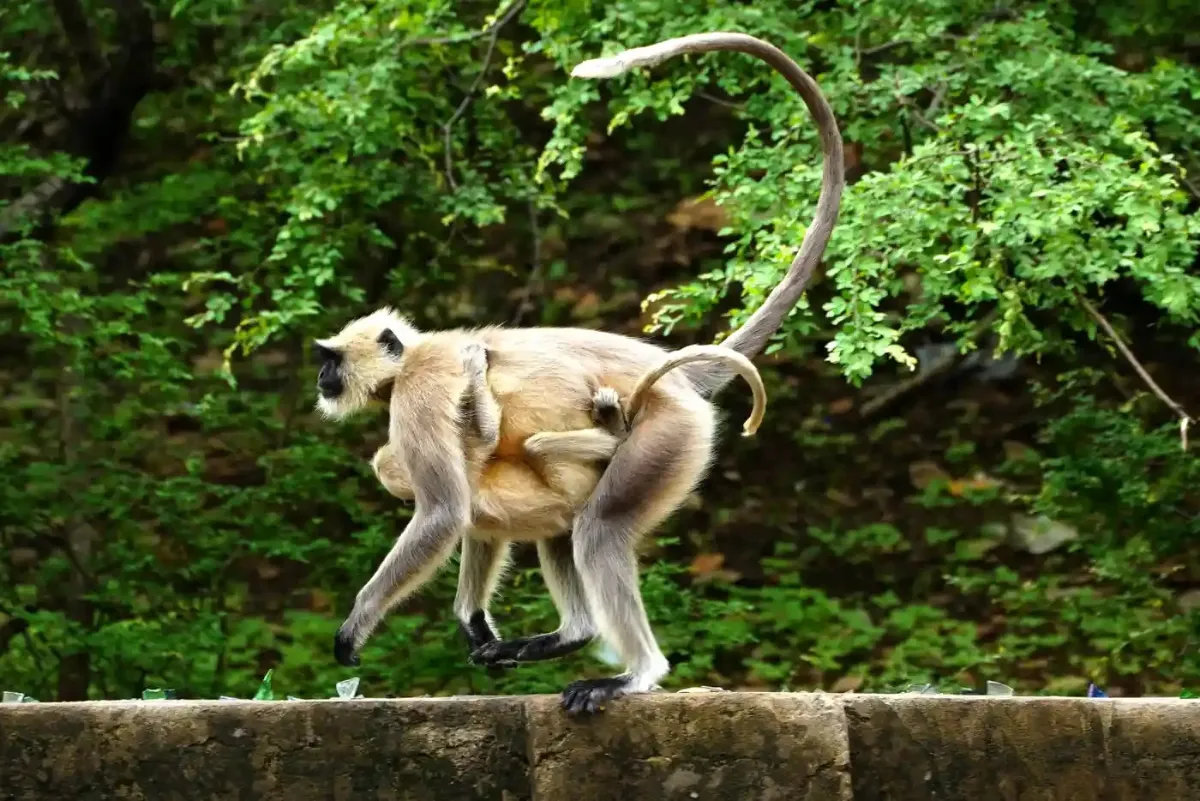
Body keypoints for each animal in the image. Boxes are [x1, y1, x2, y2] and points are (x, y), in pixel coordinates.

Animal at [319, 32, 844, 719]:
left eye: (331, 359)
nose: (322, 378)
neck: (416, 353)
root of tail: (668, 378)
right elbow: (472, 503)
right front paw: (473, 621)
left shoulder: (422, 386)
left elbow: (443, 510)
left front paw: (356, 626)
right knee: (565, 525)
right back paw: (570, 634)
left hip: (670, 436)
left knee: (599, 530)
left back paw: (635, 674)